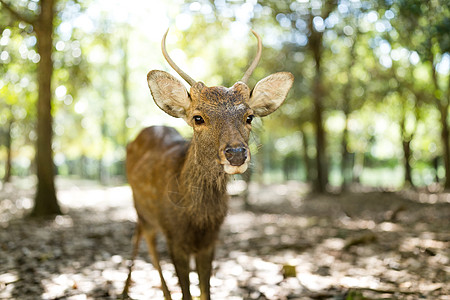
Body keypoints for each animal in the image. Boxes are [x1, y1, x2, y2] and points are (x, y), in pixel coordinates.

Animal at [122, 28, 296, 300]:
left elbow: (205, 291)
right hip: (141, 209)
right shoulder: (174, 237)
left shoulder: (210, 241)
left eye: (249, 117)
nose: (236, 153)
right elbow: (186, 293)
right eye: (198, 118)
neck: (196, 219)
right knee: (145, 240)